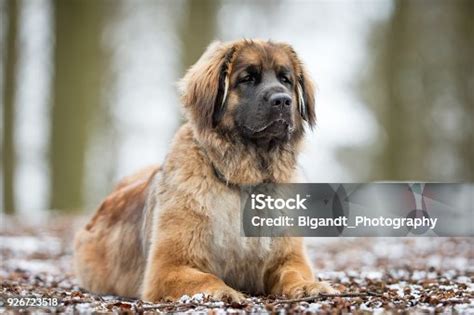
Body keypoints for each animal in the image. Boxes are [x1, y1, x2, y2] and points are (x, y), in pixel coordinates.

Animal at [72, 39, 336, 304]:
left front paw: (309, 286)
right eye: (247, 78)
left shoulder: (288, 257)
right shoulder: (169, 266)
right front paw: (226, 292)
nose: (282, 100)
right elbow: (206, 278)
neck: (245, 180)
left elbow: (293, 272)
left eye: (285, 80)